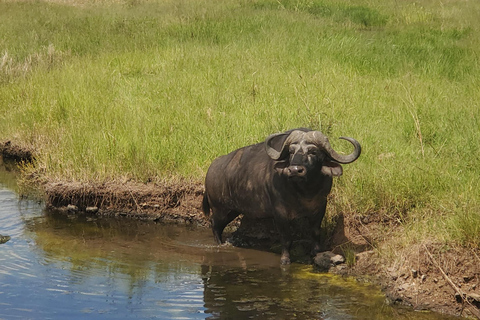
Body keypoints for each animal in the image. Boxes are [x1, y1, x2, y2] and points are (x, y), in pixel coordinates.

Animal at [201, 129, 362, 264]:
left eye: (313, 151)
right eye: (291, 152)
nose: (295, 170)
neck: (305, 192)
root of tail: (212, 168)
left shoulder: (320, 206)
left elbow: (315, 232)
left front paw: (316, 252)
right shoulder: (280, 212)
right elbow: (286, 238)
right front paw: (285, 259)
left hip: (233, 210)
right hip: (220, 208)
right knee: (215, 224)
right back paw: (220, 244)